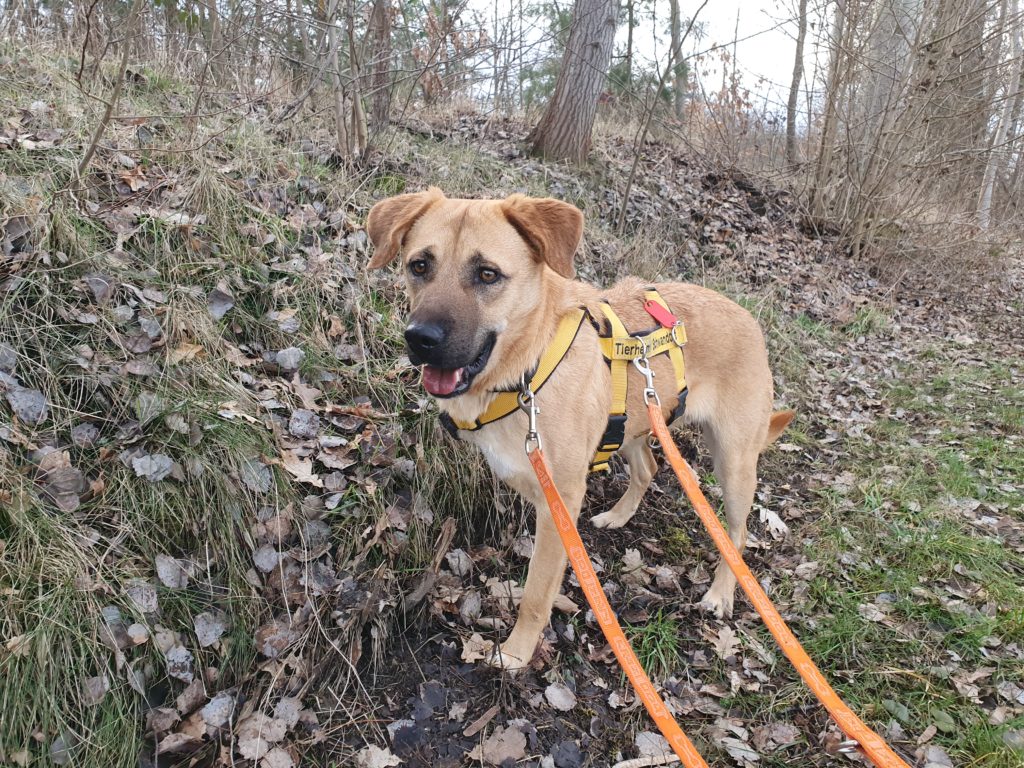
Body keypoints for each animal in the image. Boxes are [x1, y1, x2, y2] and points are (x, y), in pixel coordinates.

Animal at [366, 189, 790, 671]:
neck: (527, 370)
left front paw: (517, 652)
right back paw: (619, 515)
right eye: (419, 265)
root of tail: (752, 321)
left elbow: (536, 594)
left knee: (736, 534)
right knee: (648, 468)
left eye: (487, 274)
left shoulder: (559, 505)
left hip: (734, 463)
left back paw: (720, 594)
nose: (421, 339)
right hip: (632, 423)